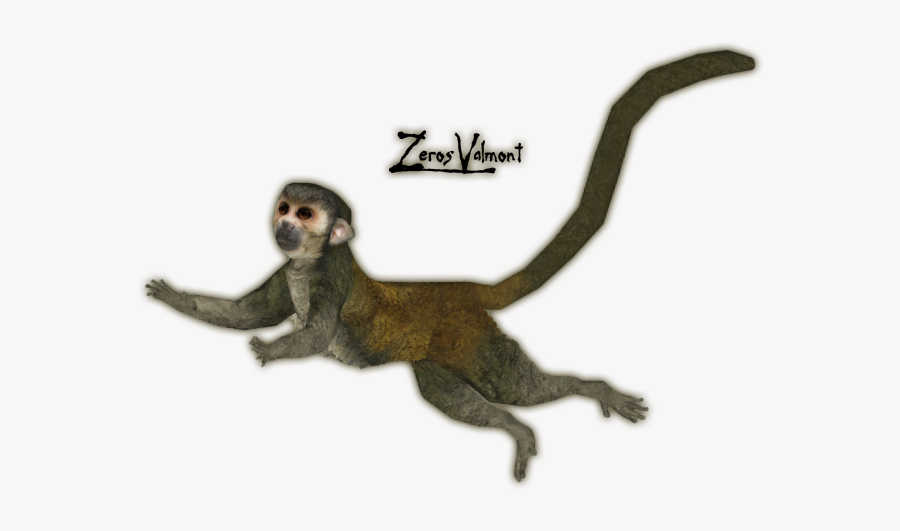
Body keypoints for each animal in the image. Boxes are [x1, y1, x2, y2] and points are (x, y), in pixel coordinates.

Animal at [147, 50, 754, 481]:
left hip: (467, 337)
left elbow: (314, 335)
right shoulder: (288, 273)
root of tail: (459, 288)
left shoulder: (330, 279)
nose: (284, 227)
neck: (308, 264)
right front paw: (176, 298)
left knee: (510, 387)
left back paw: (574, 397)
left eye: (305, 212)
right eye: (283, 207)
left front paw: (274, 350)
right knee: (454, 393)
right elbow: (247, 313)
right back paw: (520, 423)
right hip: (443, 349)